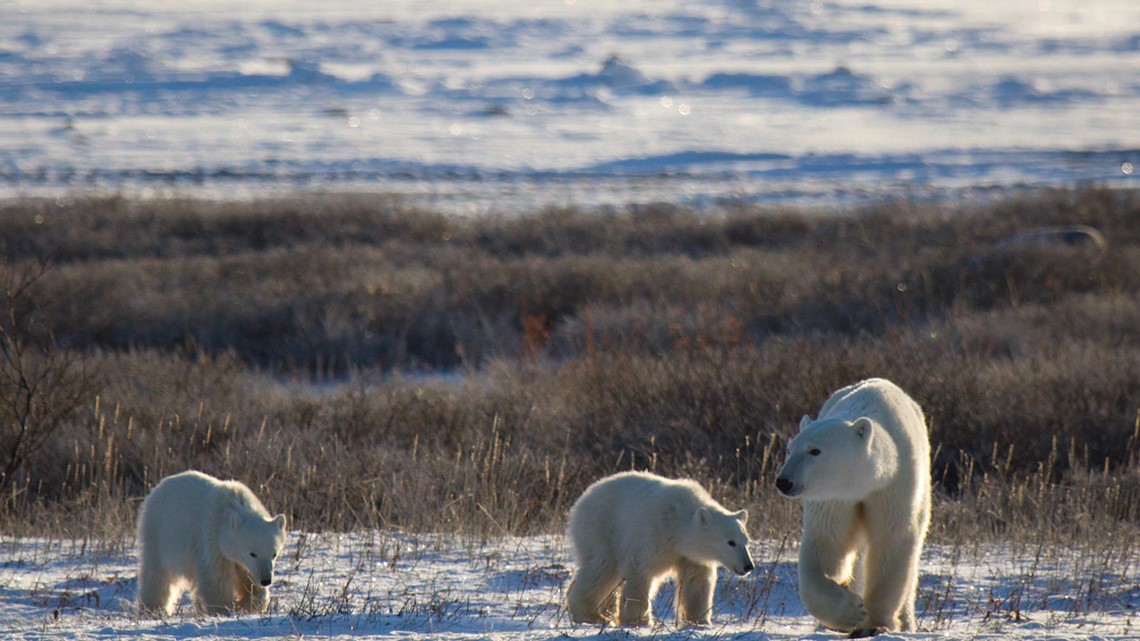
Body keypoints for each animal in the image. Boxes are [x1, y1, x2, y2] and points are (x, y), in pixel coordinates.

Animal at [136, 469, 287, 615]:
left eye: (274, 554)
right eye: (252, 553)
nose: (266, 580)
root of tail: (158, 487)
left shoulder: (241, 560)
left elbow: (250, 582)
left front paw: (244, 605)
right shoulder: (212, 540)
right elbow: (215, 579)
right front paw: (224, 610)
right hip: (159, 532)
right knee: (157, 574)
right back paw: (152, 610)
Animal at [563, 469, 756, 625]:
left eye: (746, 541)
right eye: (731, 542)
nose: (748, 566)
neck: (678, 523)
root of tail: (583, 498)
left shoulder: (691, 555)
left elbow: (696, 582)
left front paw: (699, 622)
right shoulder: (654, 533)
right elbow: (639, 571)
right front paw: (637, 621)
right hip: (602, 529)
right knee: (602, 568)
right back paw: (590, 614)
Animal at [775, 376, 925, 634]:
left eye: (815, 450)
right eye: (789, 450)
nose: (784, 481)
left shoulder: (894, 484)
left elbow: (891, 540)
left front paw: (875, 624)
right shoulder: (834, 497)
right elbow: (828, 542)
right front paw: (850, 612)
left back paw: (906, 623)